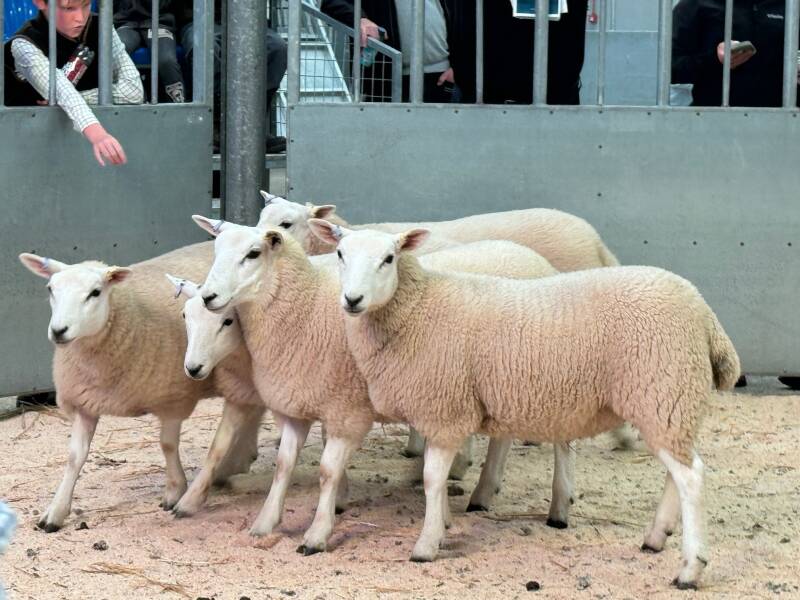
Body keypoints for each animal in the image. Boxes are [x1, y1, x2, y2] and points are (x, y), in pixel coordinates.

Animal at [17, 245, 263, 532]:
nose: (58, 331)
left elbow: (167, 445)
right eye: (50, 289)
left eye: (95, 292)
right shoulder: (84, 404)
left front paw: (174, 490)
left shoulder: (173, 398)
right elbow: (74, 457)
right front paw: (55, 512)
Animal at [191, 216, 571, 552]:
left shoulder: (346, 406)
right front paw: (266, 522)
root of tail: (531, 256)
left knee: (561, 442)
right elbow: (284, 466)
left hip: (549, 379)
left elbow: (328, 470)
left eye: (253, 253)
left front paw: (318, 532)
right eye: (216, 248)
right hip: (505, 384)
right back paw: (483, 493)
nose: (209, 296)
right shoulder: (299, 403)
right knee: (503, 438)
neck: (306, 306)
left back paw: (558, 508)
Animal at [308, 221, 740, 590]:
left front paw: (426, 545)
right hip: (669, 402)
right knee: (680, 472)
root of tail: (703, 310)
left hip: (661, 391)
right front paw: (443, 527)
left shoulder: (444, 409)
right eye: (340, 254)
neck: (418, 308)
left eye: (389, 258)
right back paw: (655, 537)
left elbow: (431, 479)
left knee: (691, 477)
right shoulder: (443, 410)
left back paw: (690, 568)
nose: (352, 299)